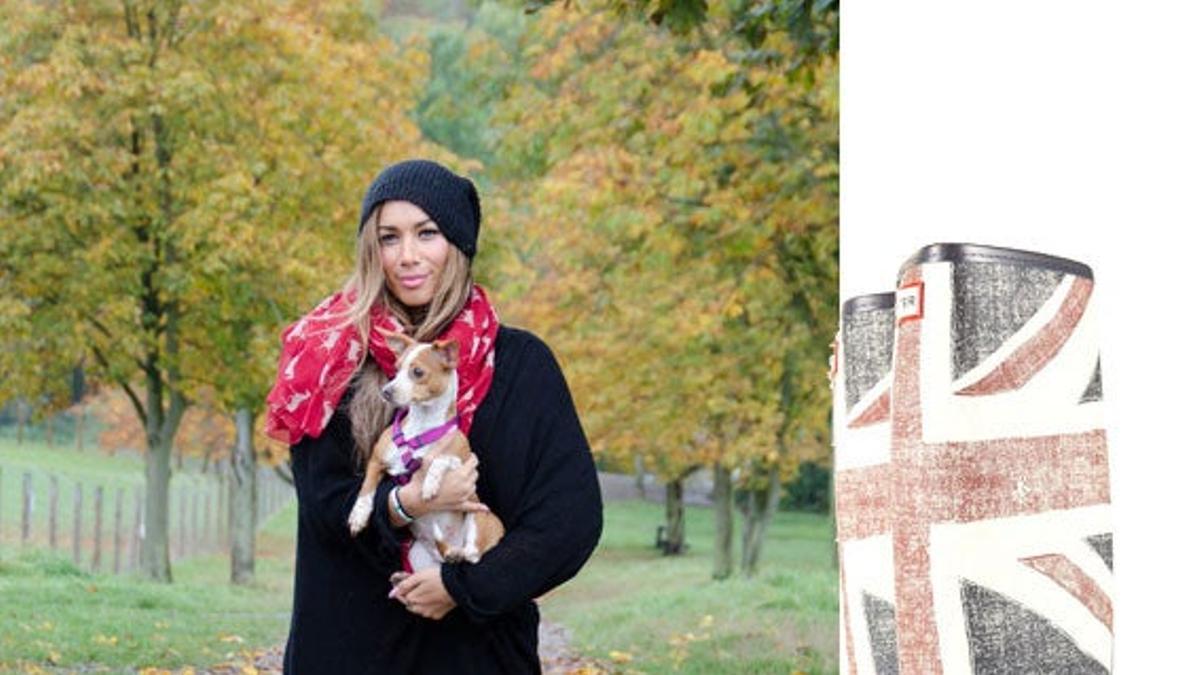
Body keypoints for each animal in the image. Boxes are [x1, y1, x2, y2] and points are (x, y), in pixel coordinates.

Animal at [345, 329, 504, 566]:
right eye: (396, 369)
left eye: (417, 372)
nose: (386, 391)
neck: (420, 427)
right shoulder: (376, 461)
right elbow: (366, 489)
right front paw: (358, 515)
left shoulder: (462, 463)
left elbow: (441, 459)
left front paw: (430, 483)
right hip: (418, 555)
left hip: (479, 517)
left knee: (473, 554)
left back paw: (461, 552)